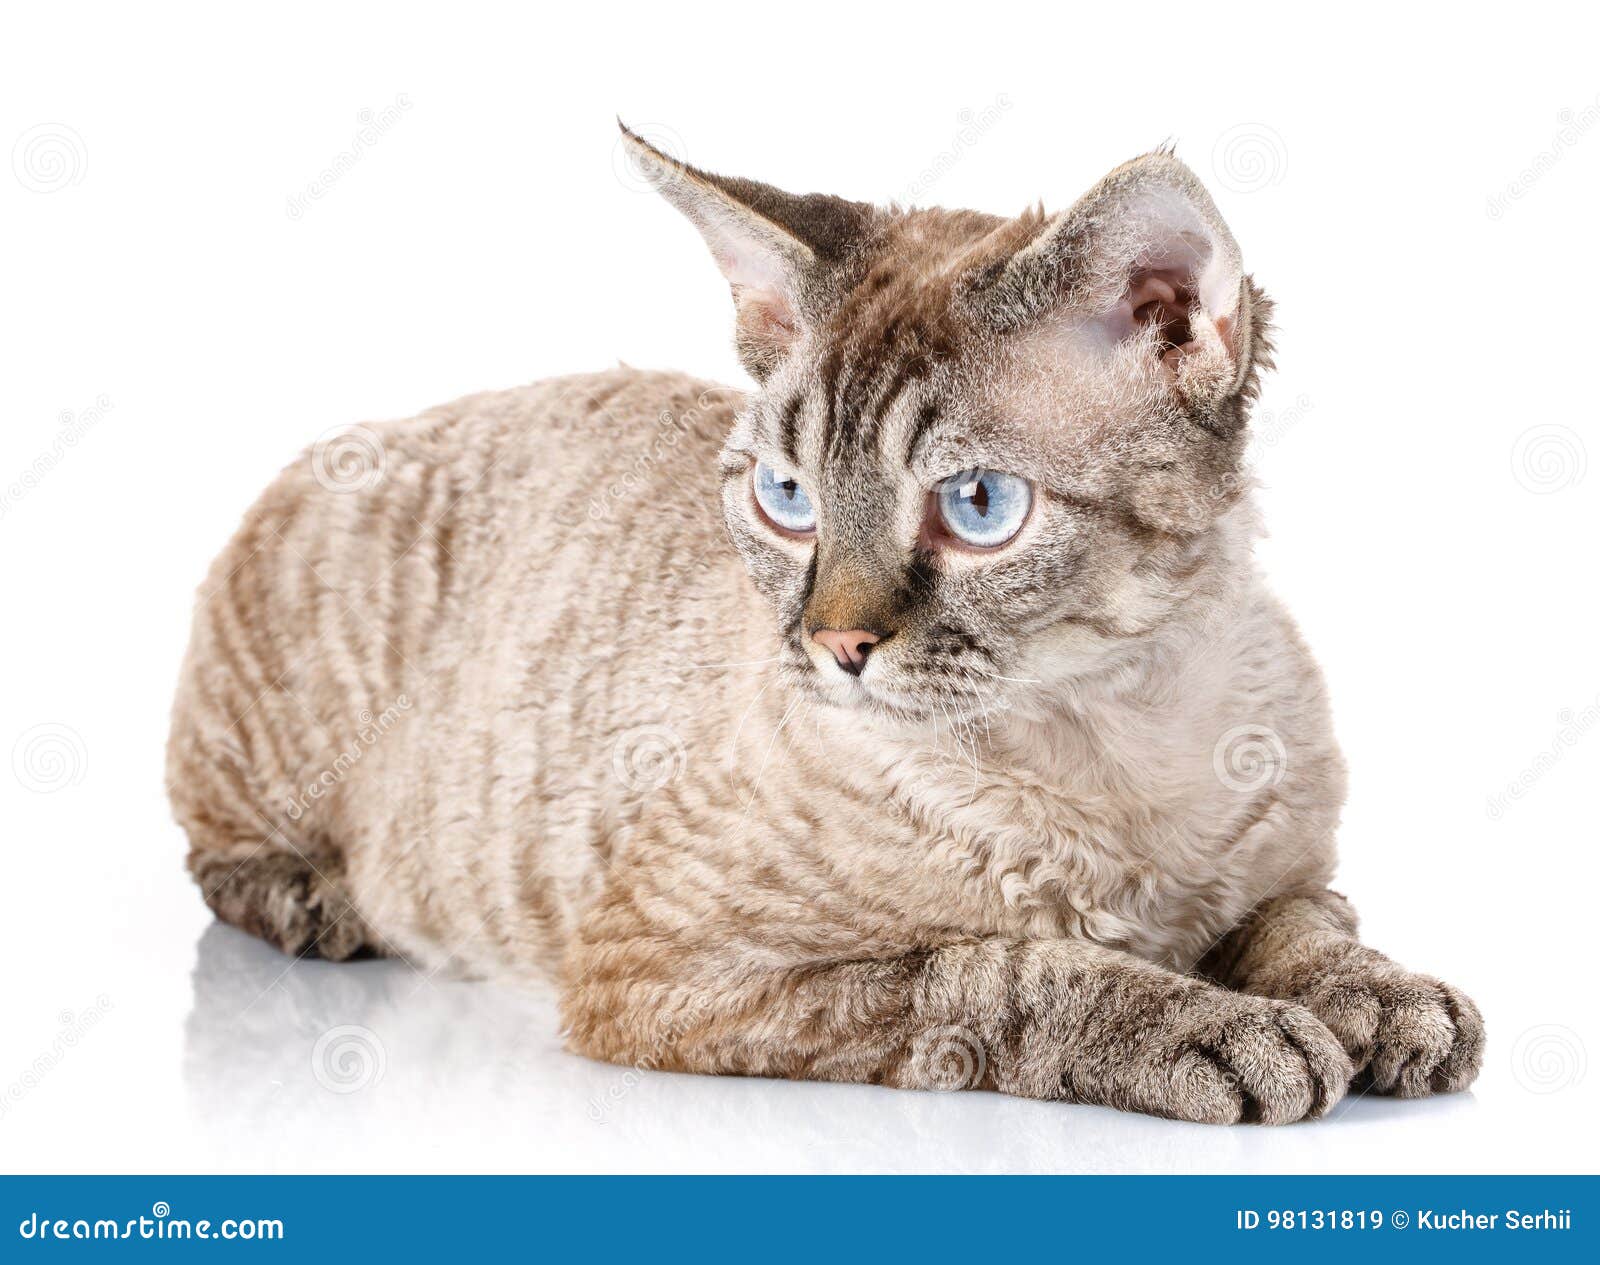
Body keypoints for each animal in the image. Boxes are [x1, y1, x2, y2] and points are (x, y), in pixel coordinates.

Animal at [168, 123, 1478, 1125]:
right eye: (784, 497)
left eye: (978, 505)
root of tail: (355, 431)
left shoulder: (1289, 864)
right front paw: (1212, 1026)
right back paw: (317, 900)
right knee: (216, 857)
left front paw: (1374, 995)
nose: (833, 646)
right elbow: (999, 970)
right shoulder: (670, 963)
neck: (1114, 730)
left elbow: (1304, 918)